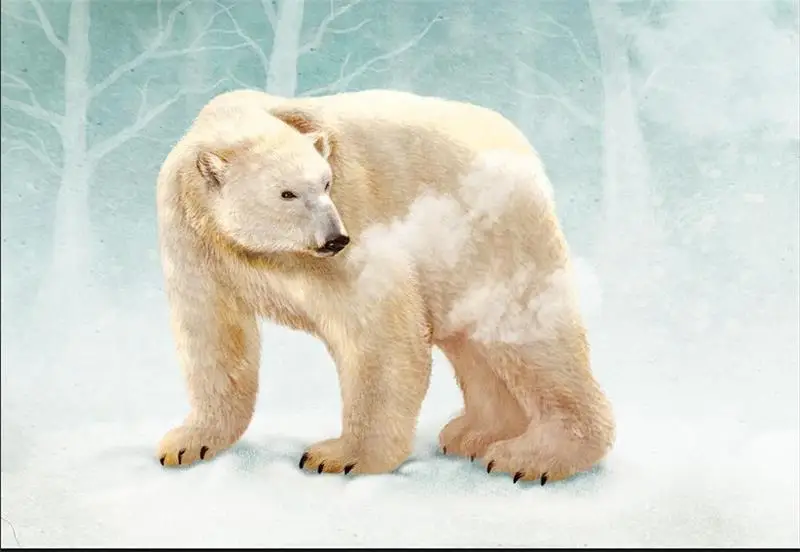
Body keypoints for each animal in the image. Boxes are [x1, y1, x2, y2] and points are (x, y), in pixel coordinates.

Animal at [154, 88, 615, 484]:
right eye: (287, 193)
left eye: (325, 183)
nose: (335, 238)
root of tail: (520, 144)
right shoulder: (193, 236)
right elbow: (212, 334)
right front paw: (187, 442)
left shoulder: (357, 216)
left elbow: (377, 328)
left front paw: (338, 455)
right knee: (471, 343)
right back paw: (476, 432)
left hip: (489, 230)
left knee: (527, 330)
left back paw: (532, 455)